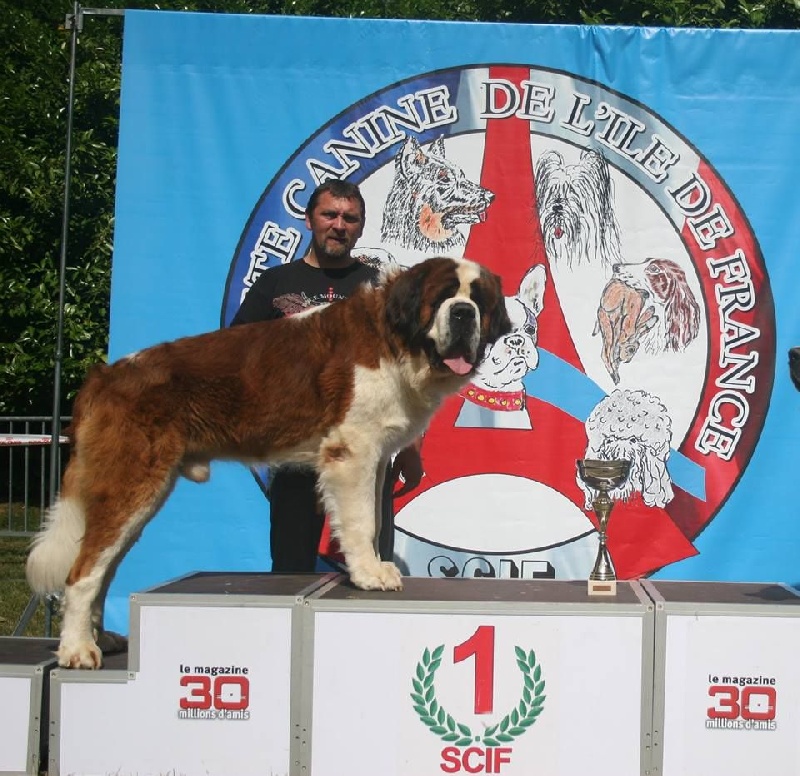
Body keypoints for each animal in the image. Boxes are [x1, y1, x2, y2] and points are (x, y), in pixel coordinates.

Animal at [26, 257, 511, 669]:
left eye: (478, 300)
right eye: (444, 295)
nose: (463, 313)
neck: (396, 339)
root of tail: (105, 375)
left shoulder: (375, 458)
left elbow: (373, 520)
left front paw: (372, 565)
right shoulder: (351, 451)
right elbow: (360, 522)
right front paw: (369, 574)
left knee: (103, 565)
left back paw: (99, 637)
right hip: (133, 482)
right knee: (83, 569)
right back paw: (77, 649)